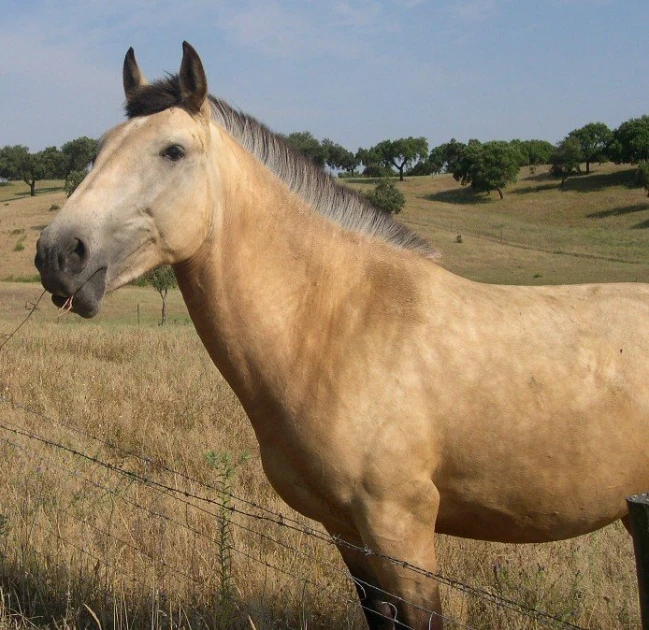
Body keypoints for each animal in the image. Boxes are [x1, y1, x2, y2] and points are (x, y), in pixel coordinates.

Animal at [34, 42, 648, 628]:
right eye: (100, 148)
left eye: (173, 151)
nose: (57, 254)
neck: (336, 324)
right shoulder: (347, 531)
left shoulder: (401, 529)